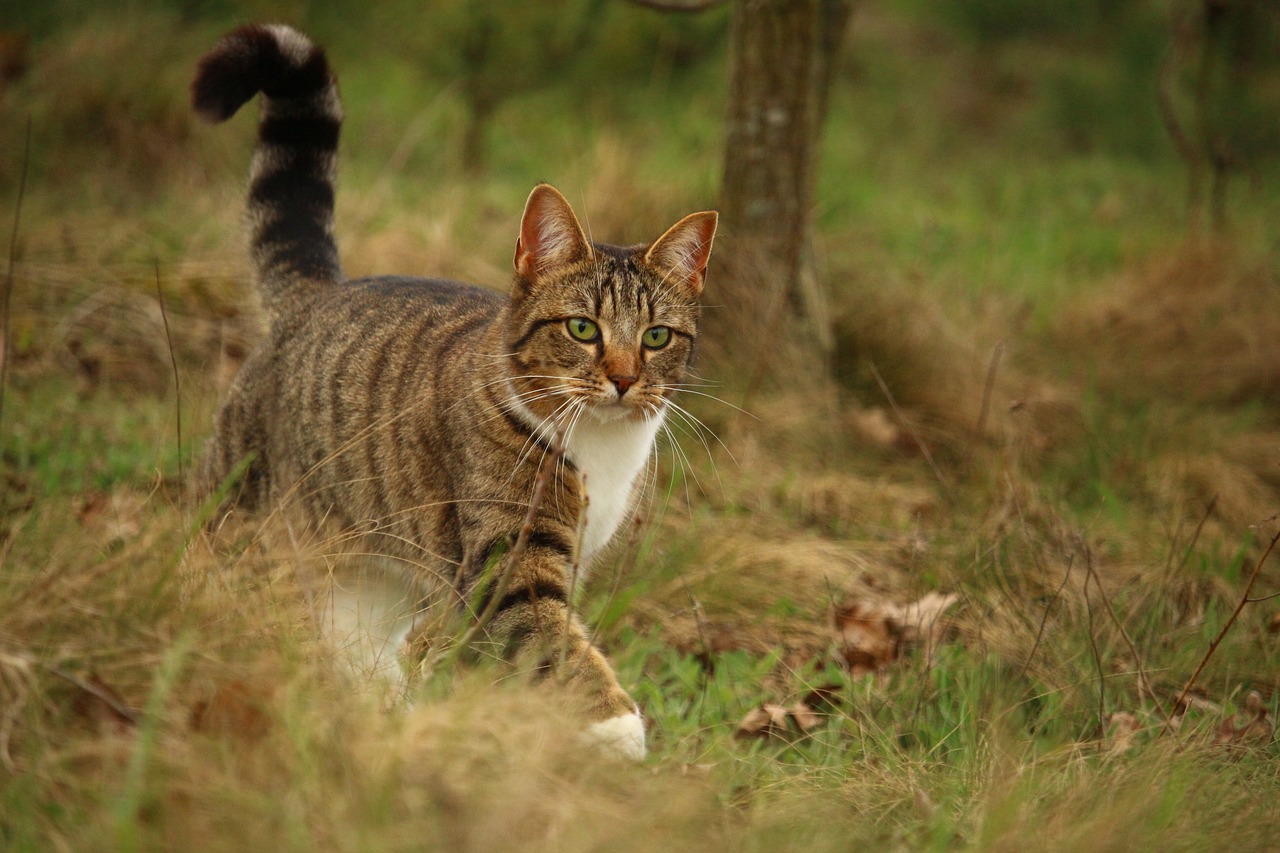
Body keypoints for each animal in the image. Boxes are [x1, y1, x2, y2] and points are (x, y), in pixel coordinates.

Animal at [189, 24, 716, 758]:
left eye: (658, 337)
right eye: (583, 328)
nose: (623, 377)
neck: (601, 447)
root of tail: (317, 292)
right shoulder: (507, 565)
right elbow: (557, 644)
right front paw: (619, 730)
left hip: (372, 570)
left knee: (354, 645)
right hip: (240, 506)